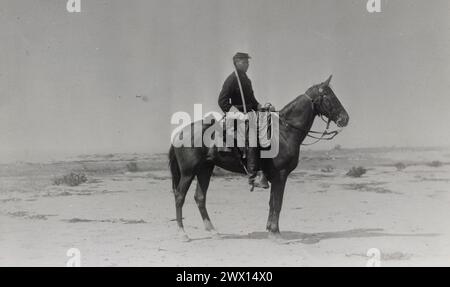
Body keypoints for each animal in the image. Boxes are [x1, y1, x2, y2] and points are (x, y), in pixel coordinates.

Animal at [168, 75, 348, 242]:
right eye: (328, 95)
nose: (345, 118)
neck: (284, 131)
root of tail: (179, 133)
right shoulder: (281, 174)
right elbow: (278, 203)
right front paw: (276, 233)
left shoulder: (274, 176)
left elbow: (272, 202)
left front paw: (270, 229)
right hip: (188, 172)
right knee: (179, 197)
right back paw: (182, 233)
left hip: (205, 169)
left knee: (200, 197)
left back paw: (213, 231)